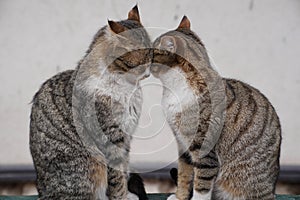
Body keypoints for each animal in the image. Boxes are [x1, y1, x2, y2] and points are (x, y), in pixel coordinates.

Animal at [30, 5, 151, 199]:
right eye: (144, 54)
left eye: (152, 52)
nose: (149, 70)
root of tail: (43, 193)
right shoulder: (111, 139)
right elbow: (117, 178)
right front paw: (121, 197)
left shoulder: (126, 140)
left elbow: (124, 170)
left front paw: (127, 194)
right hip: (88, 168)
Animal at [152, 16, 282, 200]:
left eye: (152, 54)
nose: (146, 63)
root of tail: (272, 190)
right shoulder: (183, 146)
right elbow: (184, 174)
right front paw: (179, 197)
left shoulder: (204, 151)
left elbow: (201, 185)